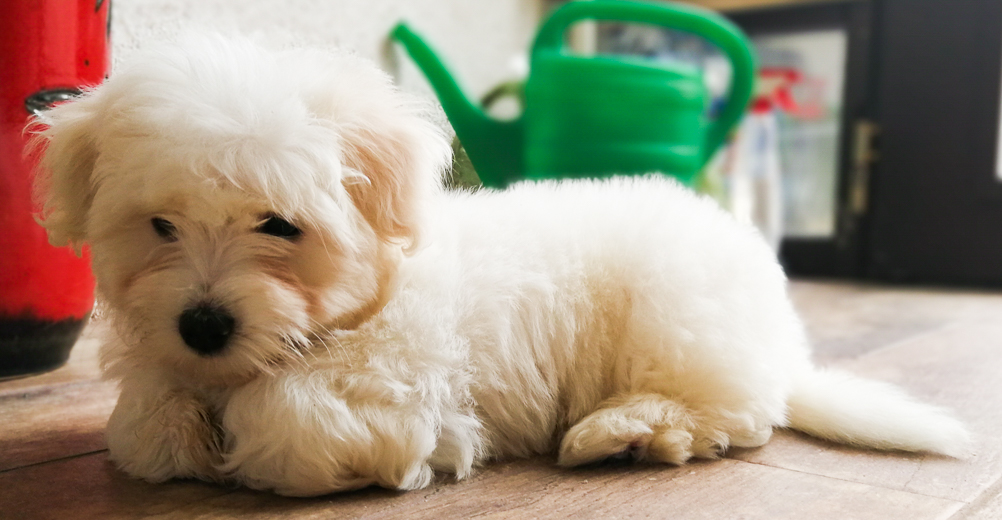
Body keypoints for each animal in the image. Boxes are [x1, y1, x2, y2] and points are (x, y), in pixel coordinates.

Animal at [35, 32, 965, 496]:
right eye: (160, 226)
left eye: (279, 225)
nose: (203, 324)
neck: (362, 302)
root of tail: (782, 340)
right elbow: (143, 425)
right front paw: (180, 426)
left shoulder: (402, 382)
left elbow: (288, 421)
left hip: (676, 317)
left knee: (733, 414)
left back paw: (628, 431)